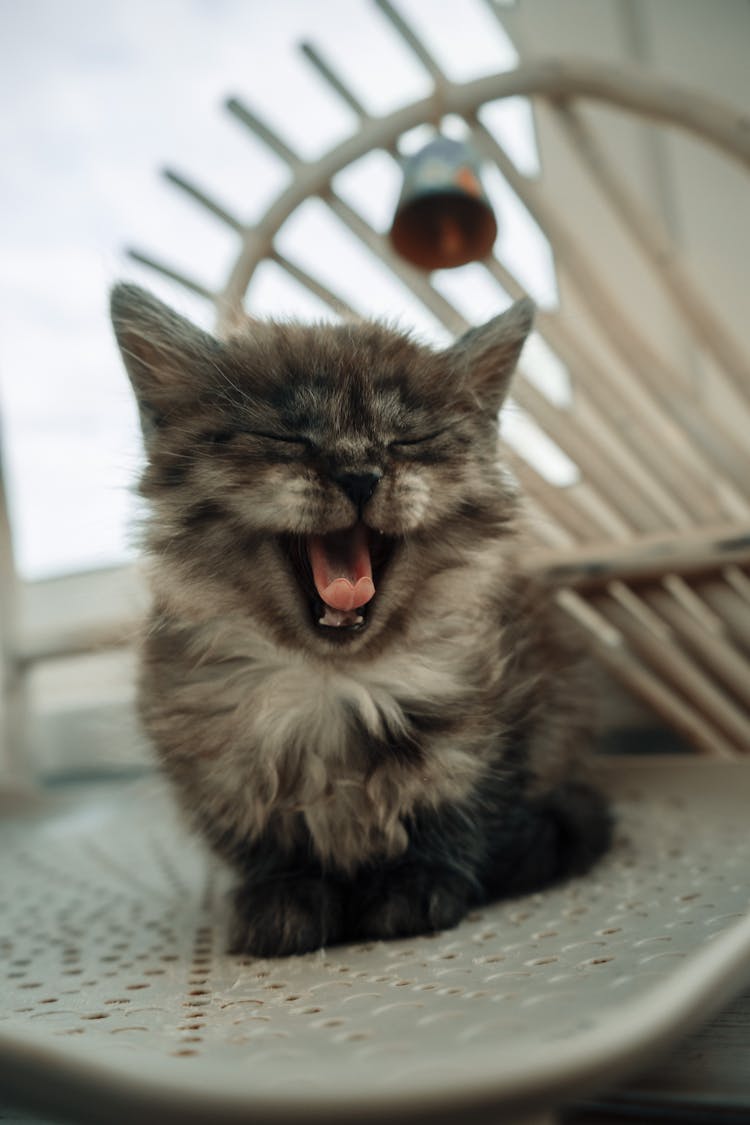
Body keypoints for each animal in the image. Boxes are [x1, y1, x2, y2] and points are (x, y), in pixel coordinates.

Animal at [113, 283, 616, 958]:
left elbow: (458, 804)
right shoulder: (206, 750)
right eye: (286, 437)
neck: (334, 684)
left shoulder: (508, 716)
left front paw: (415, 883)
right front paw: (286, 897)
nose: (359, 473)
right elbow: (263, 839)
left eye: (408, 440)